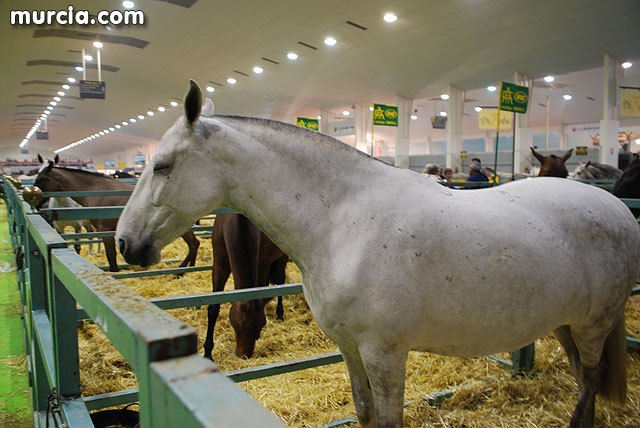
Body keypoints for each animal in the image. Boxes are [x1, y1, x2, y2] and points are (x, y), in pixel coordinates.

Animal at [35, 155, 200, 272]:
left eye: (42, 178)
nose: (35, 202)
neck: (96, 190)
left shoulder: (105, 230)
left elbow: (111, 256)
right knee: (194, 244)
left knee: (193, 244)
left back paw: (181, 271)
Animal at [204, 214, 288, 359]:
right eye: (237, 325)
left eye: (261, 324)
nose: (244, 356)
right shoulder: (220, 265)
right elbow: (214, 308)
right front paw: (208, 352)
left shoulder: (263, 263)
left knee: (280, 280)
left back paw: (279, 313)